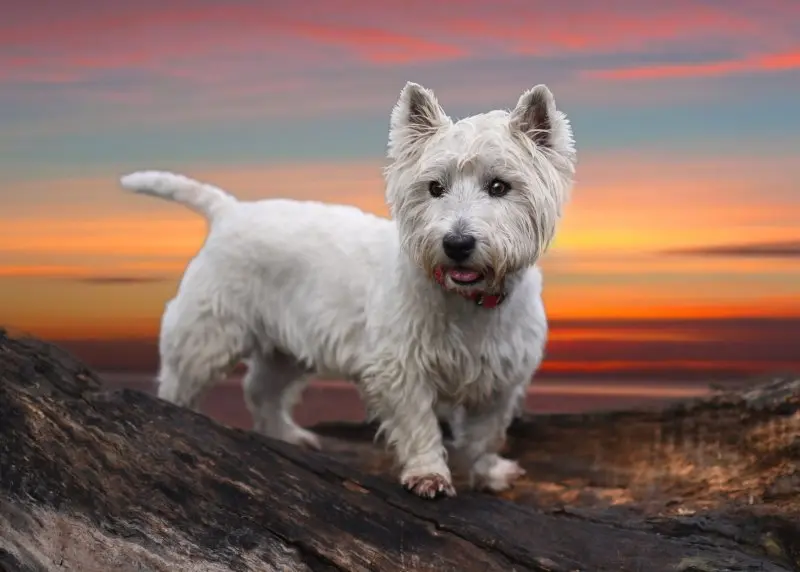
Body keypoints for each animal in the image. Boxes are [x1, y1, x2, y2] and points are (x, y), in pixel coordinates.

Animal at [120, 82, 576, 498]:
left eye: (499, 186)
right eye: (435, 187)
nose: (457, 244)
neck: (472, 304)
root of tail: (230, 211)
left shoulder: (501, 378)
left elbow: (485, 433)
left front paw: (488, 472)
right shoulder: (400, 367)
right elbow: (419, 424)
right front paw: (429, 475)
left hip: (288, 348)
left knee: (261, 388)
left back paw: (288, 435)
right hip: (208, 331)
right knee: (181, 380)